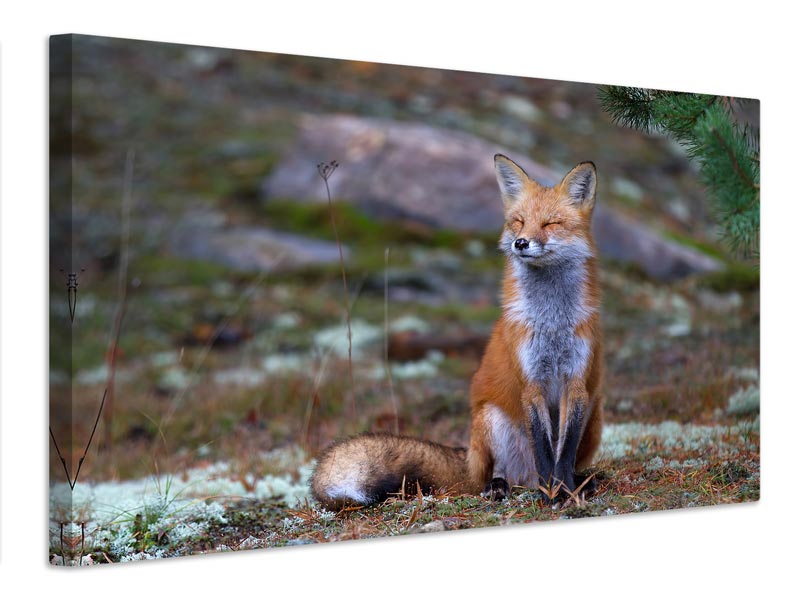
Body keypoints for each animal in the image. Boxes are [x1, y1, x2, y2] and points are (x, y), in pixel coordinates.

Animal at [310, 154, 604, 510]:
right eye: (519, 222)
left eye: (551, 224)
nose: (520, 243)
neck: (551, 323)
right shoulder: (531, 383)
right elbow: (545, 452)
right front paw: (553, 494)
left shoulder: (576, 382)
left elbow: (564, 453)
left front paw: (565, 491)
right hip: (490, 420)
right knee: (499, 475)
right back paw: (503, 487)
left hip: (594, 413)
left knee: (564, 462)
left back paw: (582, 482)